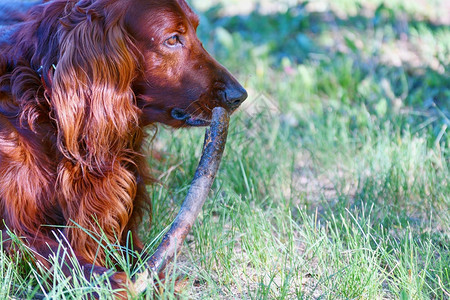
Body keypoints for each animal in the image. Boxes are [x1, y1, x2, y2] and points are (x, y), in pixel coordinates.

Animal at [0, 0, 246, 292]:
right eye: (172, 39)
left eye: (196, 31)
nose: (239, 95)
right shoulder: (12, 230)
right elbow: (60, 256)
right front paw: (112, 283)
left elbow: (142, 255)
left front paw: (161, 283)